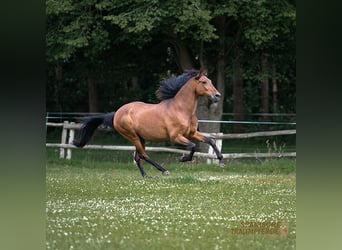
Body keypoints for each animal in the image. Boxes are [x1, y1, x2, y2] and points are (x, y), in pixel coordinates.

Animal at [73, 69, 224, 177]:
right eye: (204, 82)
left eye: (210, 81)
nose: (217, 96)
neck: (181, 110)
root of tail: (116, 113)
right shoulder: (176, 137)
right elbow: (193, 146)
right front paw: (183, 159)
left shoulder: (191, 133)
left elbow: (210, 140)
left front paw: (221, 161)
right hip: (132, 136)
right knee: (143, 155)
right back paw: (164, 170)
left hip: (141, 138)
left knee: (138, 156)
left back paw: (146, 176)